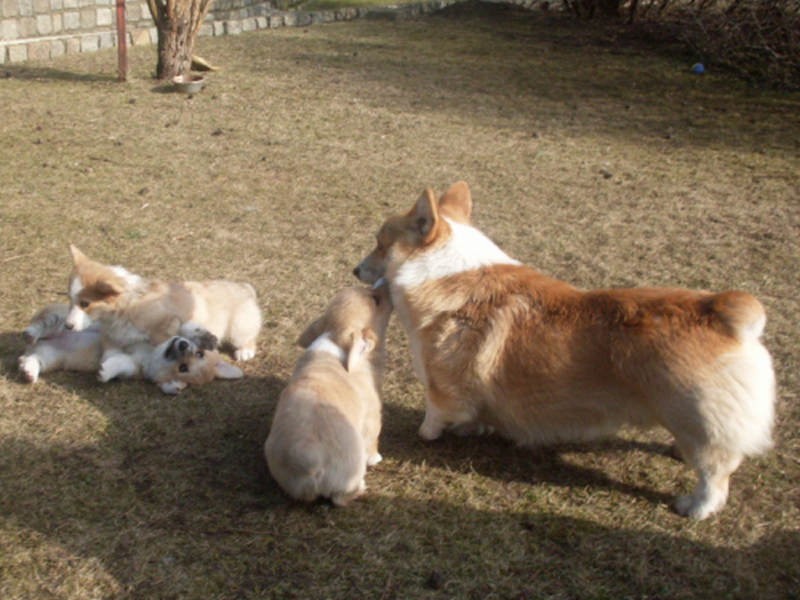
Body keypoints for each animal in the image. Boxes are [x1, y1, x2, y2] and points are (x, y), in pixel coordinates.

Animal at [19, 304, 241, 394]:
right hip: (60, 319)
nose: (183, 344)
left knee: (34, 358)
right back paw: (32, 332)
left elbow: (117, 363)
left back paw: (29, 370)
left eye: (183, 368)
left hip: (50, 356)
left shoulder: (130, 366)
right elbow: (180, 326)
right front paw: (199, 334)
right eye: (199, 353)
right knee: (44, 323)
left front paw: (105, 371)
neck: (152, 353)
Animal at [264, 286, 392, 506]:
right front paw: (376, 458)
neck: (335, 336)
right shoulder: (372, 415)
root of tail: (308, 456)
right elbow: (374, 439)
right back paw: (362, 488)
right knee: (341, 498)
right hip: (350, 473)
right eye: (376, 299)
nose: (385, 287)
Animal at [354, 182, 776, 520]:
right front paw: (474, 427)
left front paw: (429, 434)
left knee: (715, 475)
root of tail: (725, 312)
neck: (441, 271)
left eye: (380, 243)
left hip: (697, 424)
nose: (355, 270)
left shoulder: (441, 382)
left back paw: (694, 507)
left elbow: (435, 414)